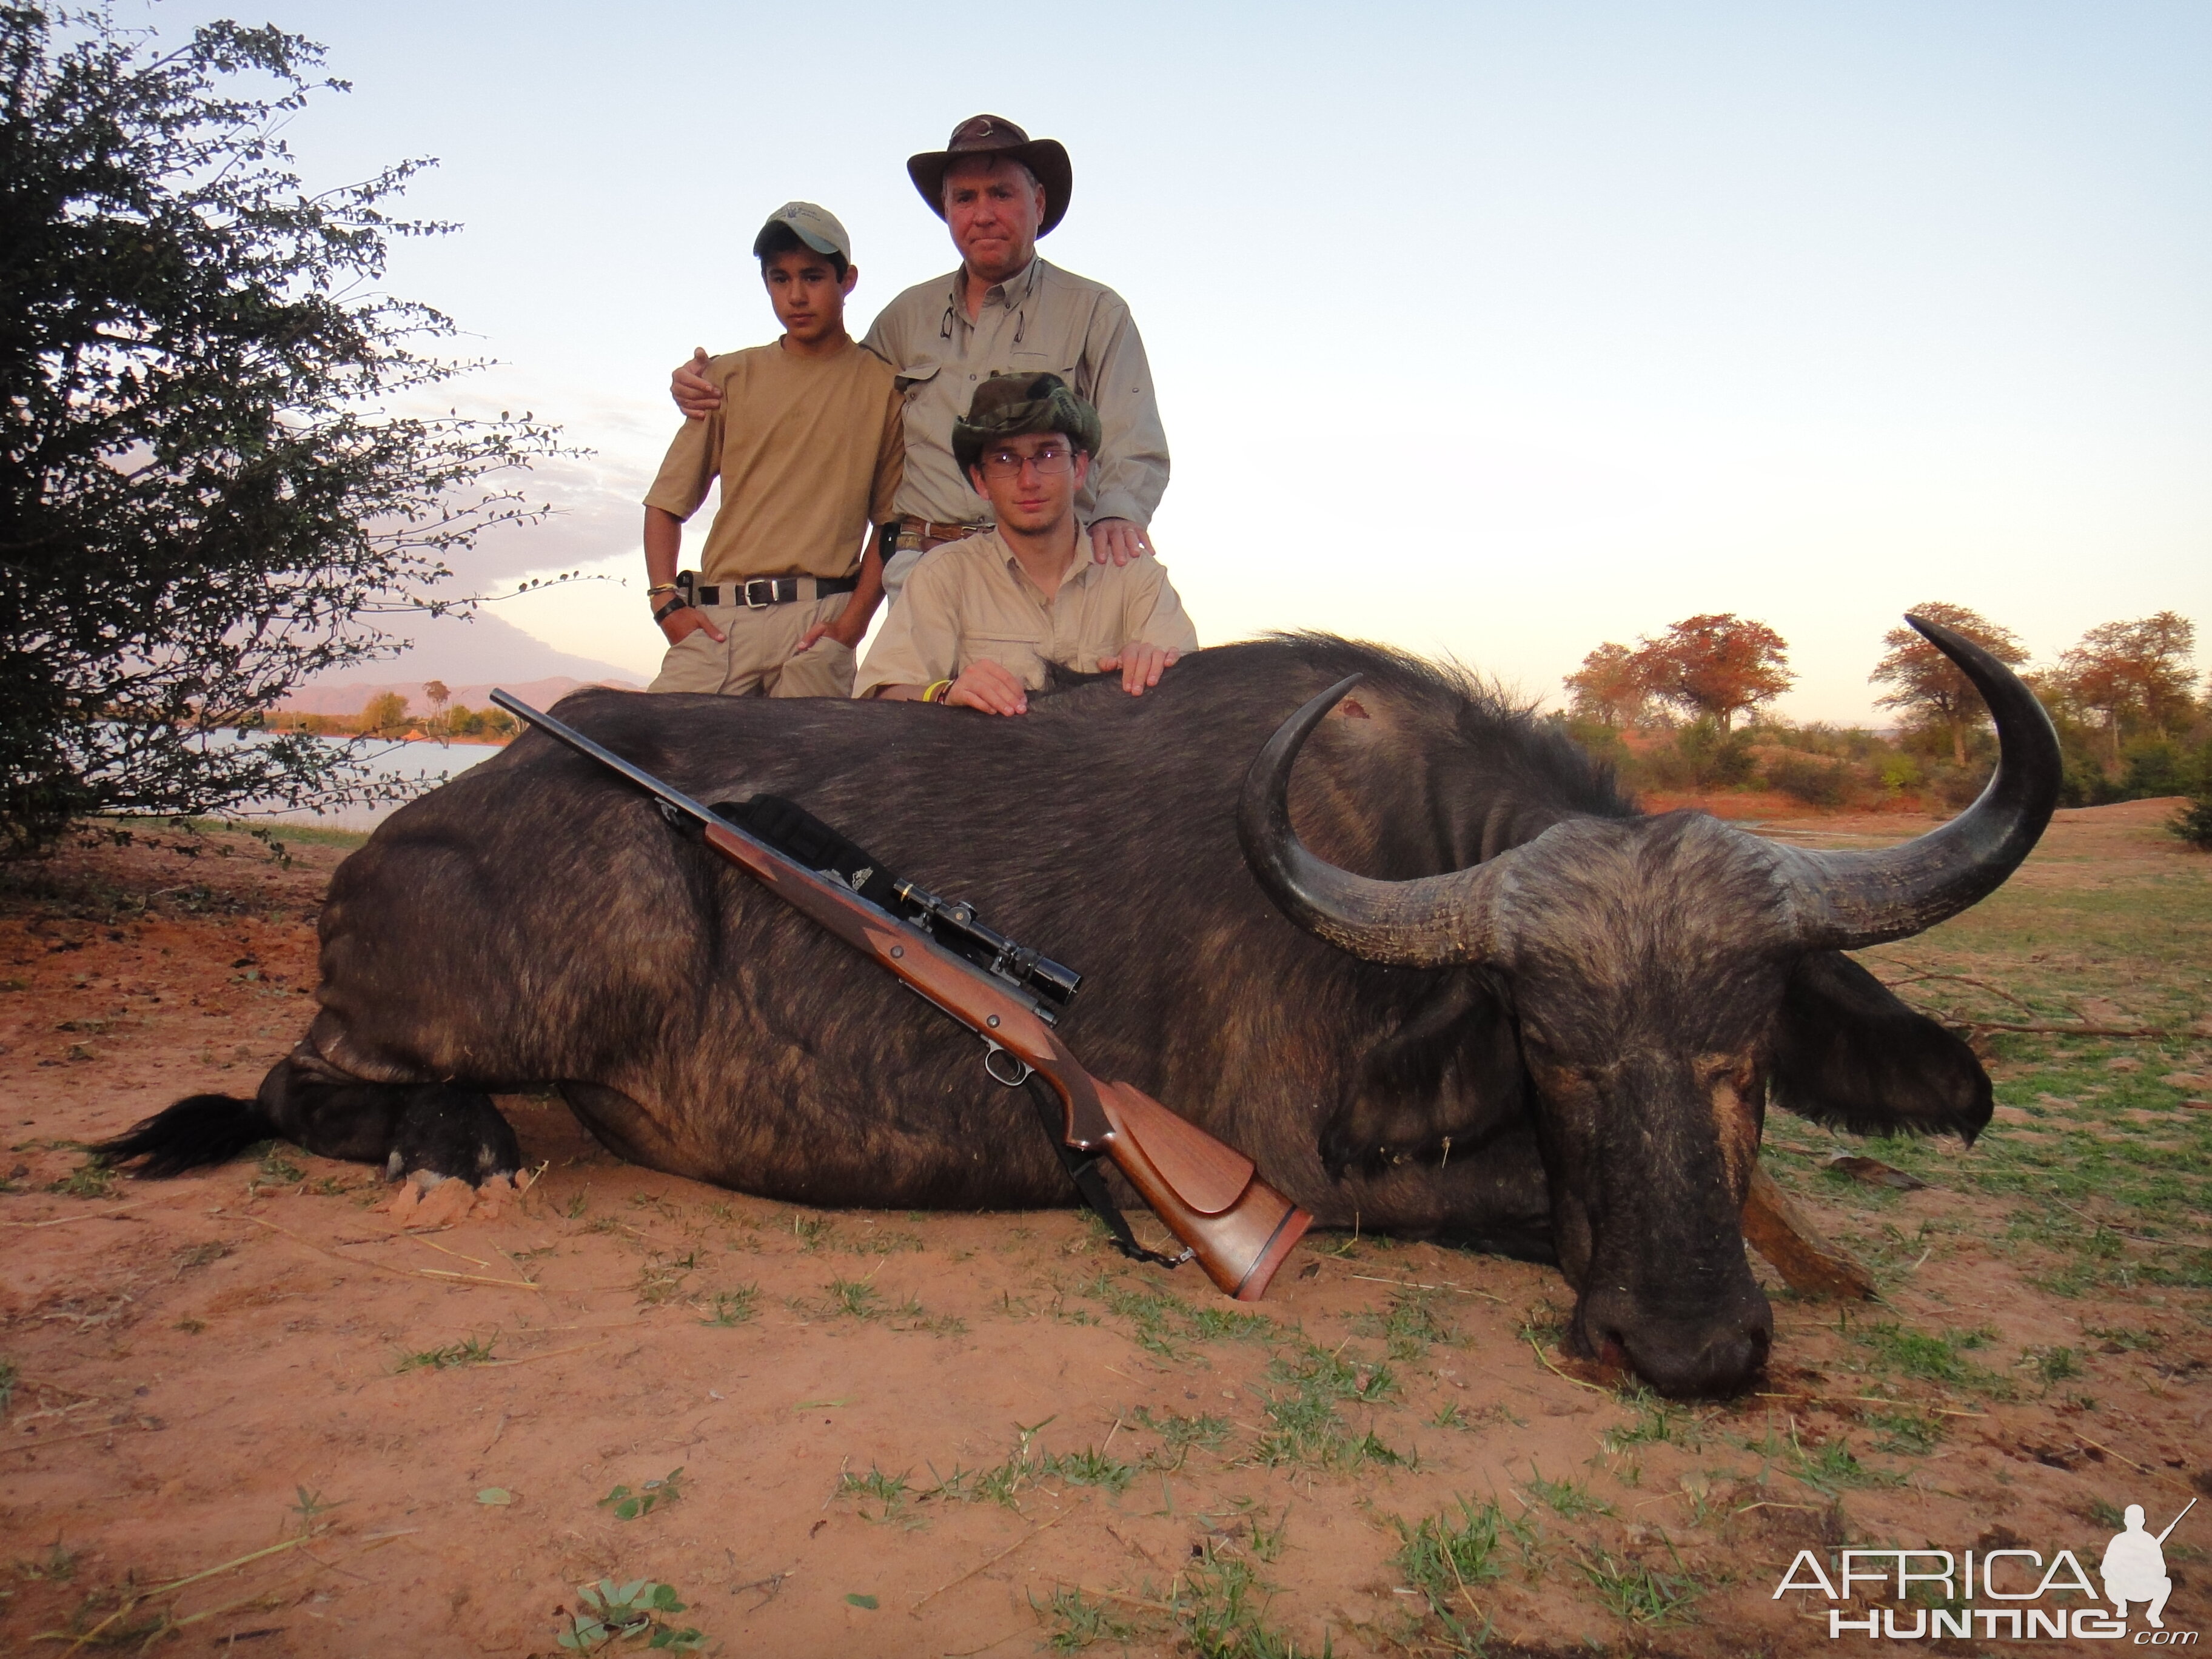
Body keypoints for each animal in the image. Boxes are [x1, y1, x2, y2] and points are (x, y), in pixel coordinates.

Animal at [99, 619, 2053, 1398]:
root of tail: (421, 816)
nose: (1687, 1348)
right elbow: (1529, 1206)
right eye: (1550, 1049)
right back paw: (458, 1150)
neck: (1394, 849)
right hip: (620, 921)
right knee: (292, 1087)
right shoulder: (1319, 1174)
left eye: (1747, 1052)